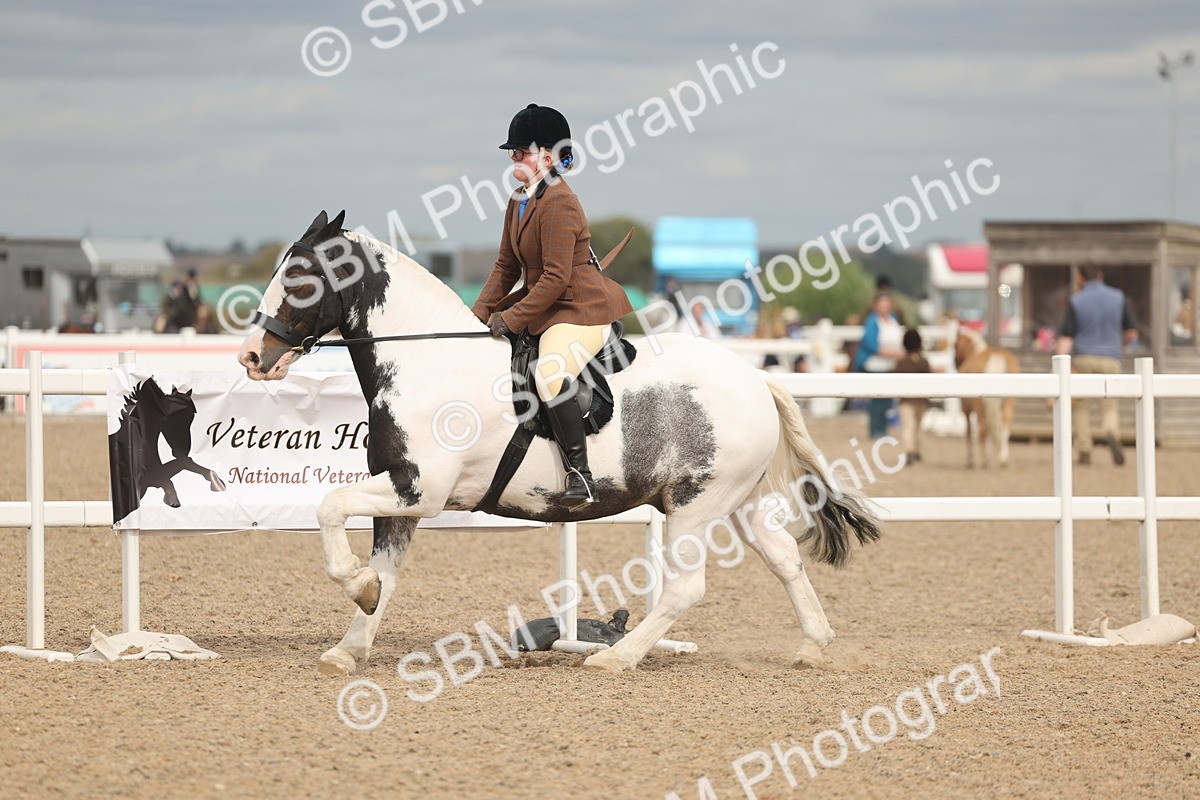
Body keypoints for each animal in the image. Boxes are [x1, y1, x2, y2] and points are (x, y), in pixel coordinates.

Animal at [237, 210, 881, 676]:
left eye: (299, 278)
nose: (252, 357)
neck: (429, 360)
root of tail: (756, 378)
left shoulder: (417, 490)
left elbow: (329, 508)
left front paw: (355, 585)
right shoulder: (403, 500)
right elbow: (386, 574)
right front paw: (352, 640)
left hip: (695, 505)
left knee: (685, 587)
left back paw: (616, 658)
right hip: (736, 500)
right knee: (784, 558)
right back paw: (813, 645)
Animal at [954, 327, 1020, 469]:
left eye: (955, 345)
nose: (956, 362)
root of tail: (996, 356)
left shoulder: (966, 410)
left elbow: (968, 432)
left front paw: (970, 460)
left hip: (979, 404)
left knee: (983, 428)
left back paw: (984, 461)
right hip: (1008, 402)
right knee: (1004, 425)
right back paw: (1002, 459)